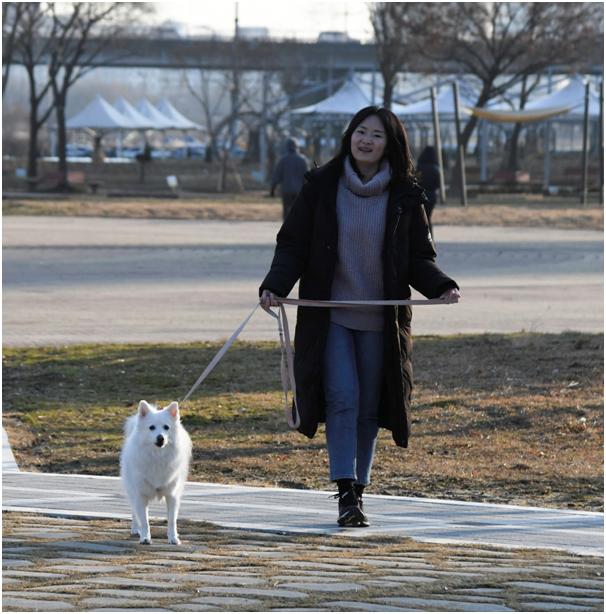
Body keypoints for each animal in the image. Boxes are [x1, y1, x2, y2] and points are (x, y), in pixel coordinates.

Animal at [120, 402, 192, 548]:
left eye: (166, 427)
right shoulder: (140, 495)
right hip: (131, 491)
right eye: (151, 427)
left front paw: (173, 538)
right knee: (134, 512)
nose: (161, 438)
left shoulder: (172, 495)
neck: (157, 456)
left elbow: (172, 520)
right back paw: (135, 529)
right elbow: (145, 521)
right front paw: (145, 538)